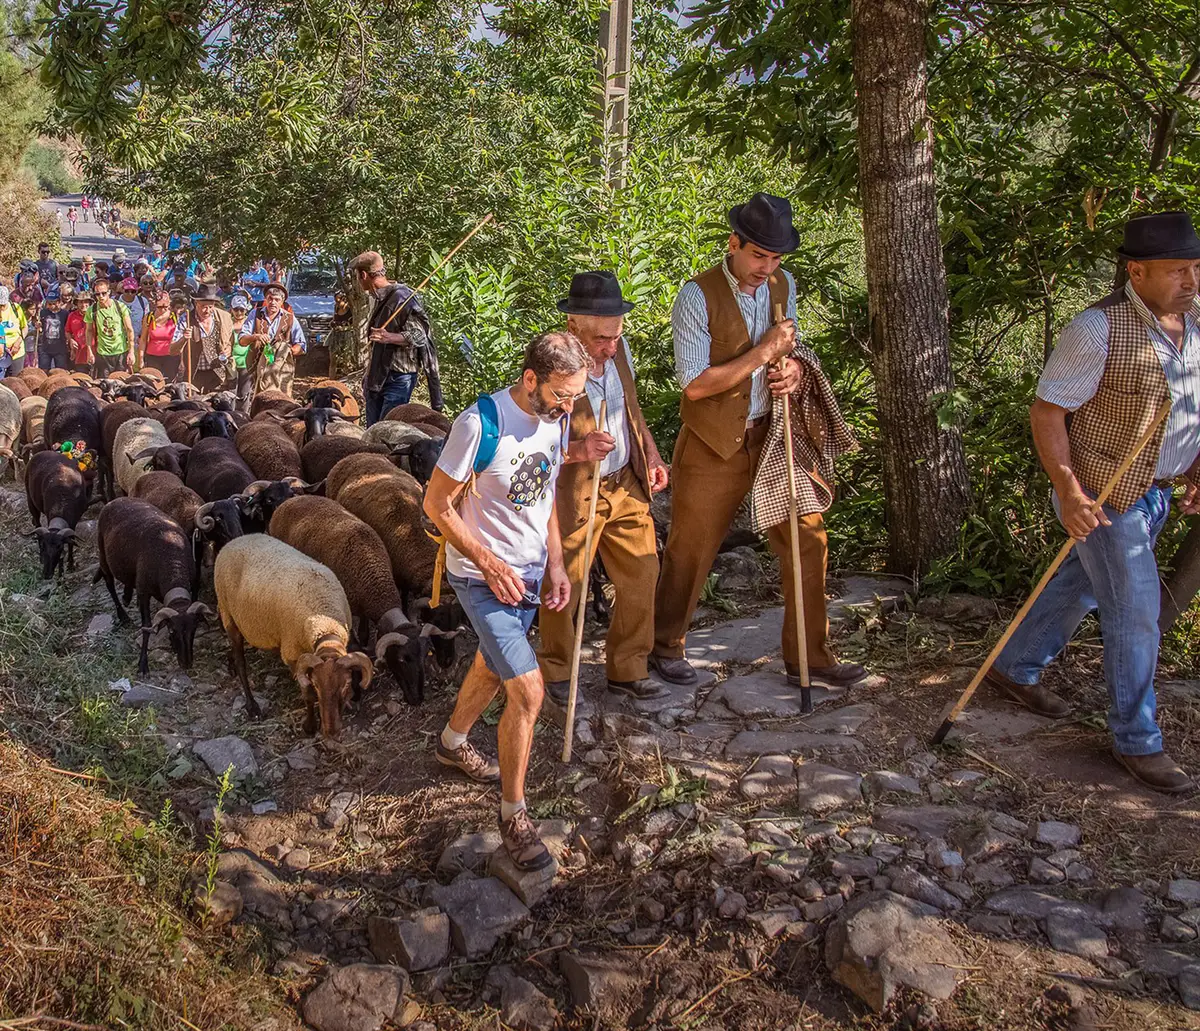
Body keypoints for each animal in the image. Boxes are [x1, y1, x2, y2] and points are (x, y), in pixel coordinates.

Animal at [22, 451, 88, 580]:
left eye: (59, 547)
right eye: (43, 546)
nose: (47, 574)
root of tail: (41, 452)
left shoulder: (74, 520)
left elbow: (71, 542)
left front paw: (70, 565)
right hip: (30, 500)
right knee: (37, 522)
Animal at [211, 535, 369, 739]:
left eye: (346, 684)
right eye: (316, 684)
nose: (331, 731)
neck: (326, 625)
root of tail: (234, 541)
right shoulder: (293, 656)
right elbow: (308, 694)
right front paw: (310, 726)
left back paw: (230, 663)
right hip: (227, 613)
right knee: (241, 662)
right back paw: (252, 705)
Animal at [270, 496, 456, 705]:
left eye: (425, 655)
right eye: (402, 659)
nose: (417, 699)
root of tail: (292, 499)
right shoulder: (344, 611)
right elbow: (354, 645)